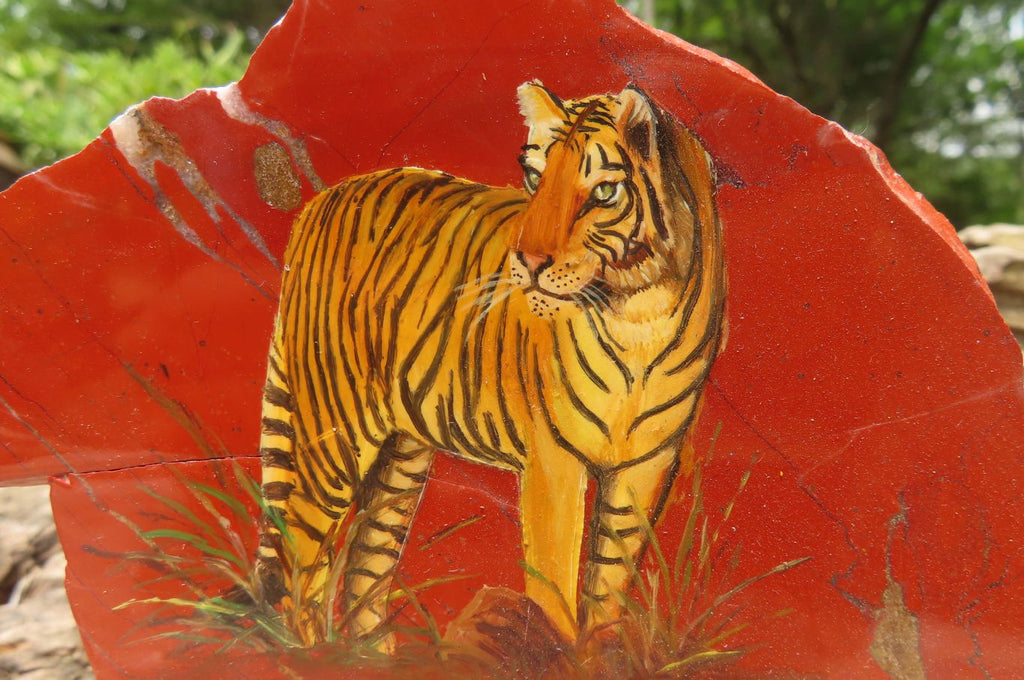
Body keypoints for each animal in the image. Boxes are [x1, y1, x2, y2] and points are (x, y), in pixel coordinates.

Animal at [255, 80, 726, 648]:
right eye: (535, 177)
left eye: (603, 193)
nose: (529, 262)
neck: (640, 311)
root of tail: (320, 203)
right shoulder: (554, 460)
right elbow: (554, 587)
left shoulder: (649, 461)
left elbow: (608, 591)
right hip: (335, 432)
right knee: (302, 562)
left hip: (401, 453)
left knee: (366, 567)